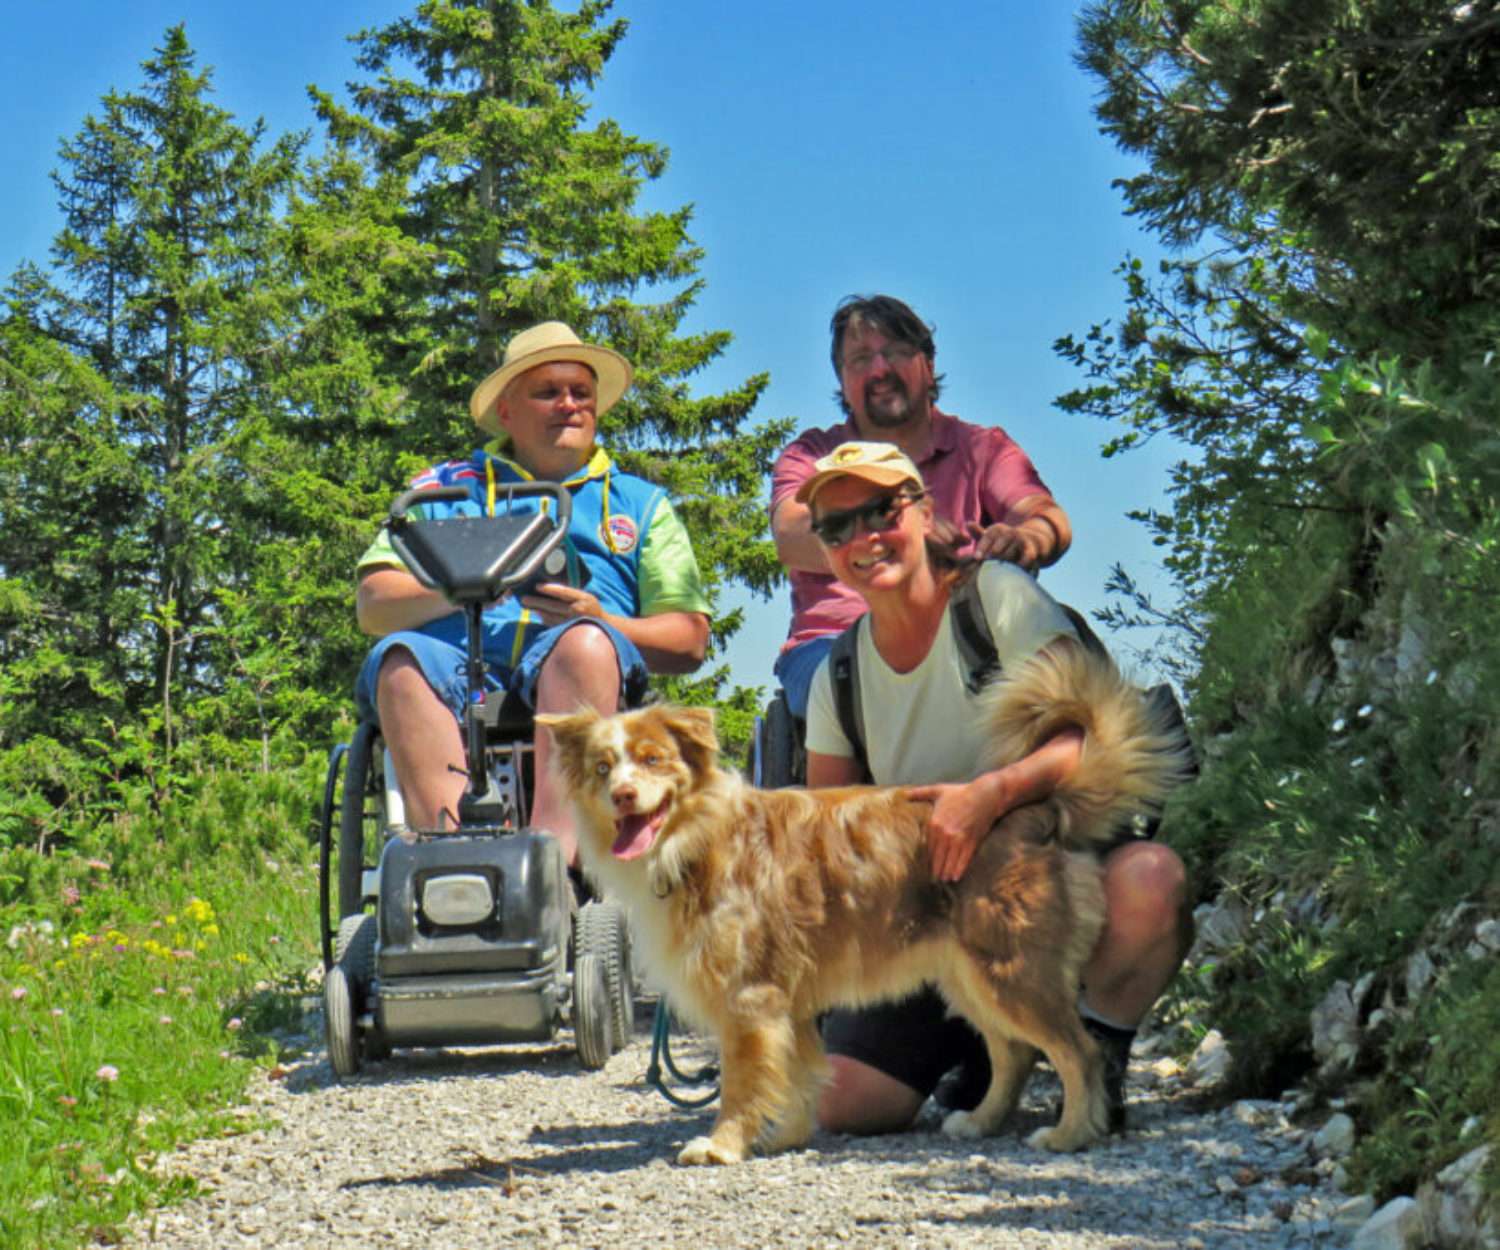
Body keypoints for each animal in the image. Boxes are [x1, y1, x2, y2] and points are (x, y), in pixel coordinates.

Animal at [540, 639, 1194, 1164]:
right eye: (603, 768)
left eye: (653, 759)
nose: (623, 796)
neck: (696, 839)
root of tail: (1034, 811)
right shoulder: (788, 1004)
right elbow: (799, 1074)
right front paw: (786, 1137)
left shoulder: (750, 1000)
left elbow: (744, 1083)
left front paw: (724, 1146)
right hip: (969, 977)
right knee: (1014, 1053)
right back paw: (983, 1120)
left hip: (1012, 971)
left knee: (1078, 1052)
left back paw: (1072, 1134)